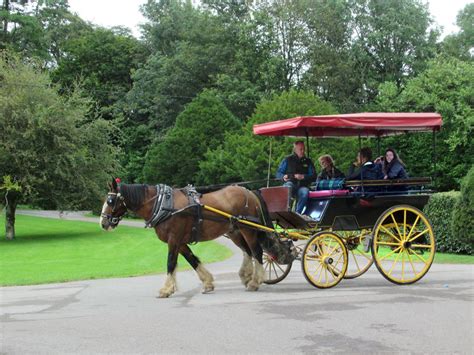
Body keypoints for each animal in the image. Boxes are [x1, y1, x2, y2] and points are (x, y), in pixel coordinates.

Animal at [99, 179, 292, 298]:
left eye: (110, 201)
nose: (103, 222)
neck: (163, 204)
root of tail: (249, 192)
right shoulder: (181, 242)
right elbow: (192, 260)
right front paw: (207, 283)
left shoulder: (174, 239)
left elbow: (170, 263)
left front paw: (166, 289)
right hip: (235, 231)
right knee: (247, 252)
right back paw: (246, 277)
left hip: (248, 229)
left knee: (257, 252)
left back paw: (255, 282)